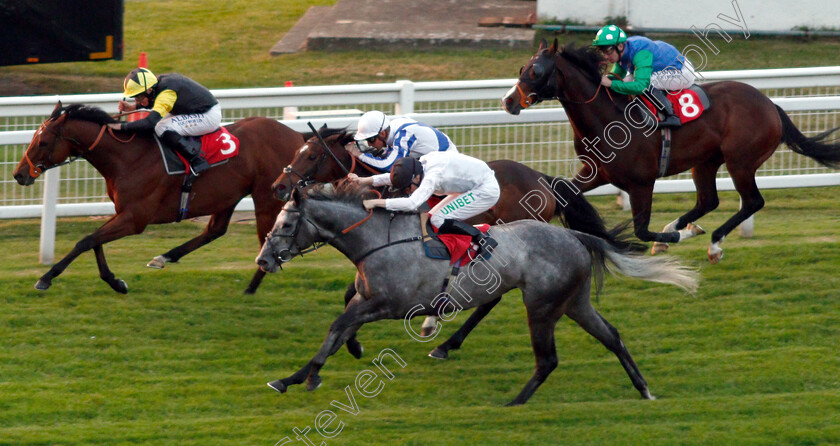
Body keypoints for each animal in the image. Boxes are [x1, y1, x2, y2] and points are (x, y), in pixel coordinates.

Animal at [13, 103, 304, 294]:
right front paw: (116, 282)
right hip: (228, 195)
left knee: (266, 241)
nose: (19, 174)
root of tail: (298, 136)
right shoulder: (123, 212)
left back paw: (251, 288)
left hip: (266, 198)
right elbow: (95, 241)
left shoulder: (135, 219)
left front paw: (46, 277)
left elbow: (86, 241)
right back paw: (165, 257)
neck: (127, 157)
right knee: (215, 230)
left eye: (42, 142)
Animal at [254, 183, 696, 406]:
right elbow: (339, 331)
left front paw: (310, 375)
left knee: (548, 359)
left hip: (542, 306)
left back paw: (514, 402)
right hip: (575, 303)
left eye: (287, 223)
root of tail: (573, 235)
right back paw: (643, 389)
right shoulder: (366, 301)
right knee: (613, 337)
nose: (263, 260)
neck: (377, 242)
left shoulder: (385, 306)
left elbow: (337, 327)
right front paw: (291, 378)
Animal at [502, 40, 840, 264]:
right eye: (521, 67)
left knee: (752, 201)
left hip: (740, 162)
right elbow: (562, 192)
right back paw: (681, 228)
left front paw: (679, 237)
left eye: (536, 71)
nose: (508, 101)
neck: (606, 117)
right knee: (708, 200)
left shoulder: (641, 183)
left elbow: (641, 231)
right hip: (705, 162)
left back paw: (713, 244)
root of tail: (771, 105)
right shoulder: (596, 172)